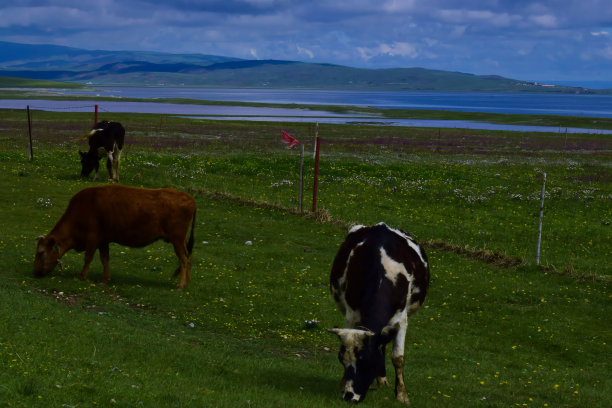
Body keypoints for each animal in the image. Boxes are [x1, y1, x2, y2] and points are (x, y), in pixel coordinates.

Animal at [33, 183, 196, 288]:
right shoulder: (103, 240)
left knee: (184, 259)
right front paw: (105, 279)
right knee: (189, 257)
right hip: (181, 240)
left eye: (40, 253)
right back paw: (187, 283)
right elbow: (105, 259)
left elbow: (88, 258)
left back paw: (180, 285)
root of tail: (189, 198)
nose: (35, 272)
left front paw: (81, 276)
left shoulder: (92, 238)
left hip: (177, 239)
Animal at [330, 223, 430, 404]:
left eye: (366, 361)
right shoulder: (351, 315)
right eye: (342, 360)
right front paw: (342, 386)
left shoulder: (401, 320)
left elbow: (398, 358)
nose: (349, 396)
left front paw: (402, 396)